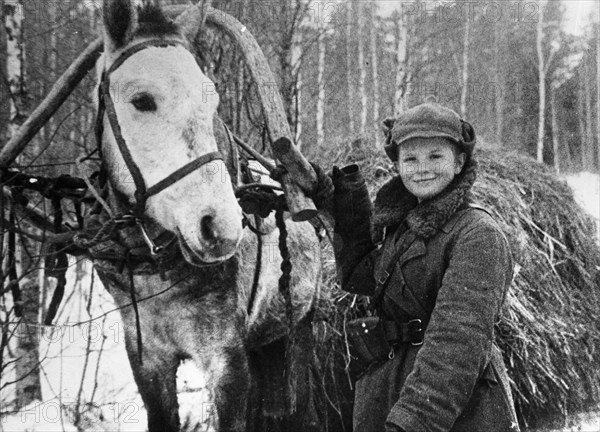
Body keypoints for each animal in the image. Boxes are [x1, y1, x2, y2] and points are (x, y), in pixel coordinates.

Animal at [91, 1, 322, 430]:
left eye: (212, 103)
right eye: (142, 99)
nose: (221, 227)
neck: (156, 265)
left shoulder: (226, 359)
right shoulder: (147, 358)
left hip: (297, 332)